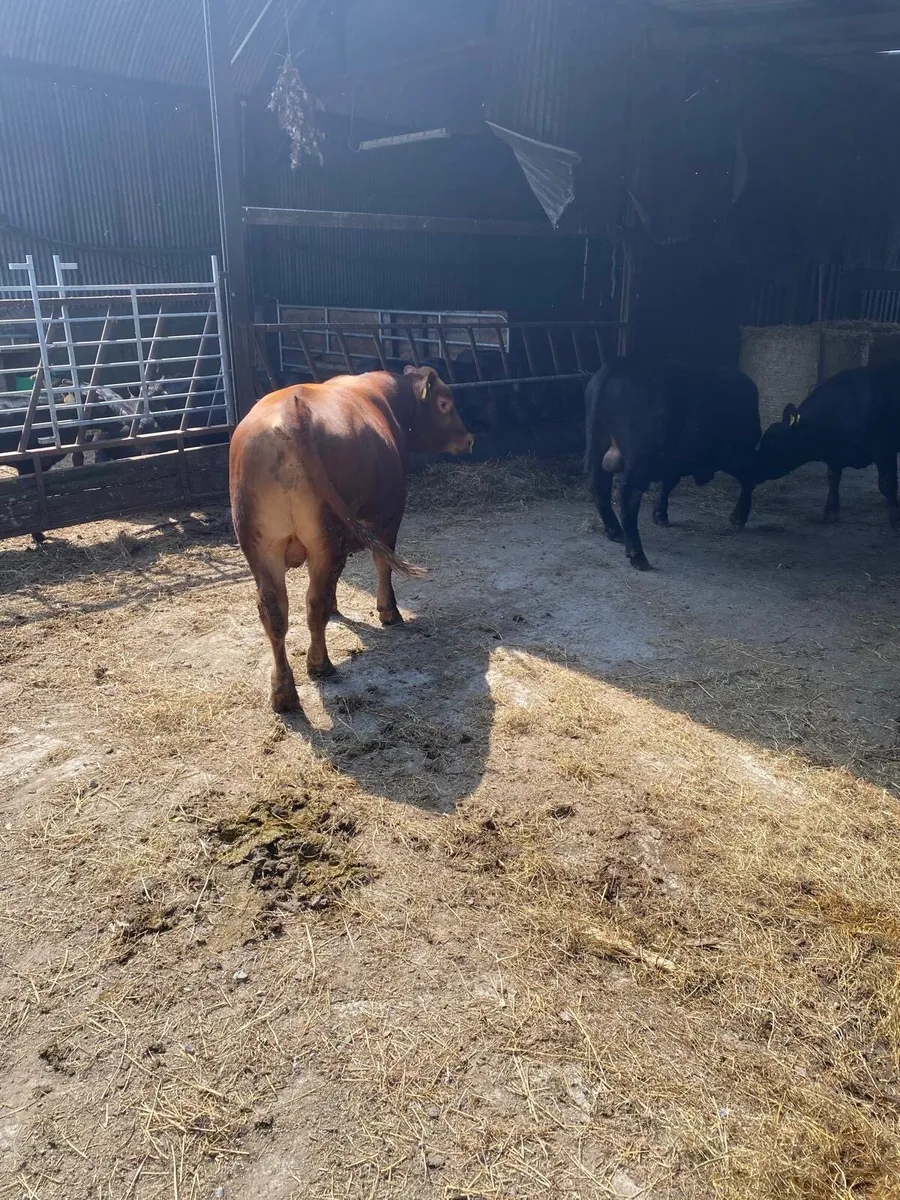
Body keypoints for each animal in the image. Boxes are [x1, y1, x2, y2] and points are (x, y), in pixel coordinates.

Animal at [229, 366, 474, 712]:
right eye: (444, 404)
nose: (468, 439)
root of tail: (291, 411)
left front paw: (338, 608)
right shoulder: (389, 513)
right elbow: (382, 564)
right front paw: (389, 611)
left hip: (261, 545)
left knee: (275, 610)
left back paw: (283, 692)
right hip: (324, 538)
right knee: (313, 601)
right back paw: (320, 665)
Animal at [585, 356, 761, 570]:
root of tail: (617, 365)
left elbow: (669, 482)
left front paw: (660, 514)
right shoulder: (738, 453)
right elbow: (749, 478)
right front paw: (739, 517)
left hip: (597, 445)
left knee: (599, 486)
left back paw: (615, 532)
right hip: (639, 459)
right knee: (627, 495)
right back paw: (638, 555)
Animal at [755, 361, 900, 530]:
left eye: (774, 442)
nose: (754, 468)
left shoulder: (884, 449)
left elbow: (887, 484)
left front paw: (895, 518)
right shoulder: (835, 456)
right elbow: (833, 478)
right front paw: (830, 513)